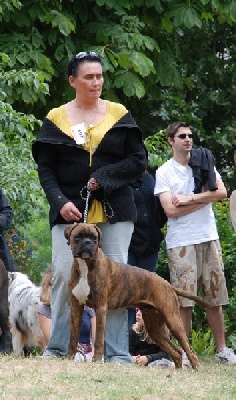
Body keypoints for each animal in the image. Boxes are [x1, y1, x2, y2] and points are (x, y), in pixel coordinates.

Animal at [65, 222, 209, 368]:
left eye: (94, 238)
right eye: (78, 236)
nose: (87, 242)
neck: (85, 266)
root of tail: (169, 285)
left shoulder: (100, 308)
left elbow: (99, 339)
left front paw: (96, 360)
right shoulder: (76, 307)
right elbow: (73, 336)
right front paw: (69, 358)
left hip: (173, 320)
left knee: (189, 350)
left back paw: (195, 368)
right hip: (155, 328)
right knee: (176, 351)